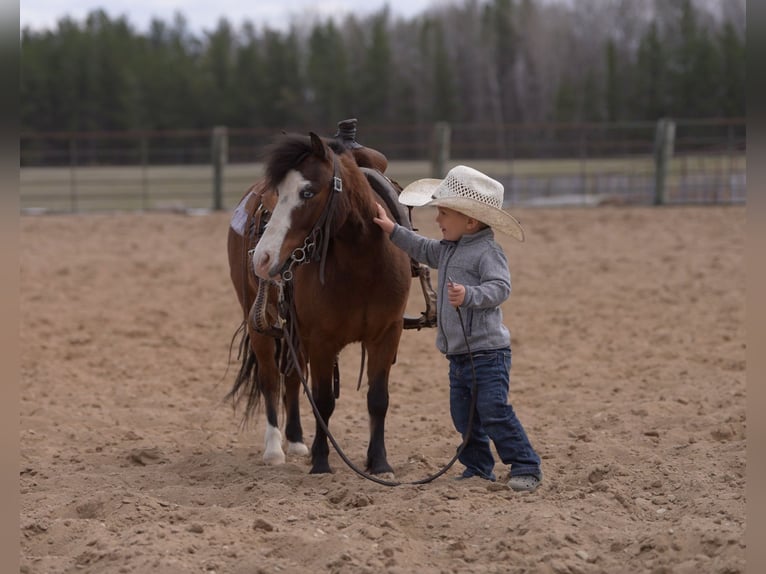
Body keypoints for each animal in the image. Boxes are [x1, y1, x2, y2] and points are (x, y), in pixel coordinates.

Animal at [226, 131, 412, 475]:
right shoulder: (323, 340)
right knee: (270, 378)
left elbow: (378, 399)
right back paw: (274, 449)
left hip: (295, 331)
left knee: (291, 377)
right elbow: (324, 401)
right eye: (278, 192)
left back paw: (297, 441)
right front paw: (322, 462)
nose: (262, 258)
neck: (362, 264)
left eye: (307, 191)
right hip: (258, 323)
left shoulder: (387, 333)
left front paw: (379, 463)